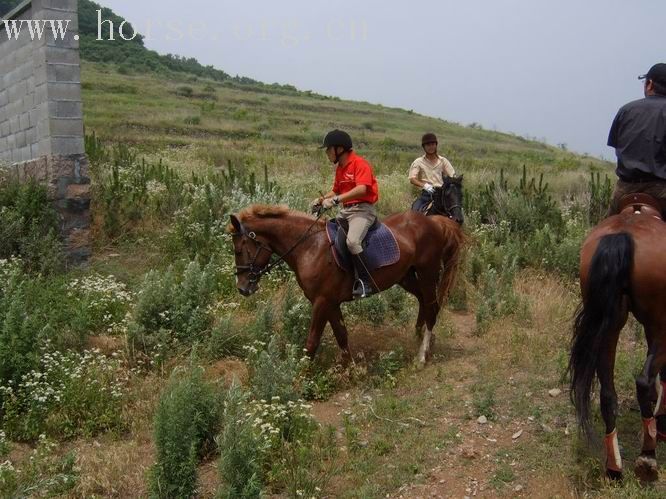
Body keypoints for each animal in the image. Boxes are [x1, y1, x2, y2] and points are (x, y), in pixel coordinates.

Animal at [226, 180, 464, 368]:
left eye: (239, 250)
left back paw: (422, 355)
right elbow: (341, 335)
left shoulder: (322, 301)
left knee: (432, 307)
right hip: (406, 277)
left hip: (428, 274)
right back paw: (418, 339)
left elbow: (312, 342)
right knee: (424, 302)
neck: (309, 246)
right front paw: (351, 370)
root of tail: (434, 221)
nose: (242, 288)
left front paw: (300, 380)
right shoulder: (330, 302)